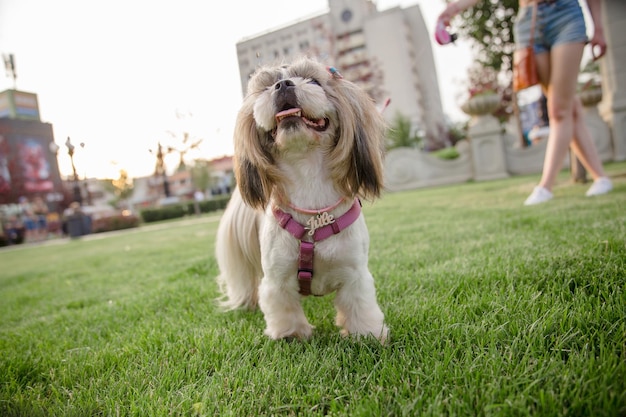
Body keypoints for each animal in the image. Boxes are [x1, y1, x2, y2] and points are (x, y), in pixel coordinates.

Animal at [217, 57, 388, 342]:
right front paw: (291, 335)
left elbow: (359, 305)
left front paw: (367, 335)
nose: (283, 84)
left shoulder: (355, 273)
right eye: (266, 87)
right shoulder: (276, 279)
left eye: (314, 81)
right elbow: (283, 307)